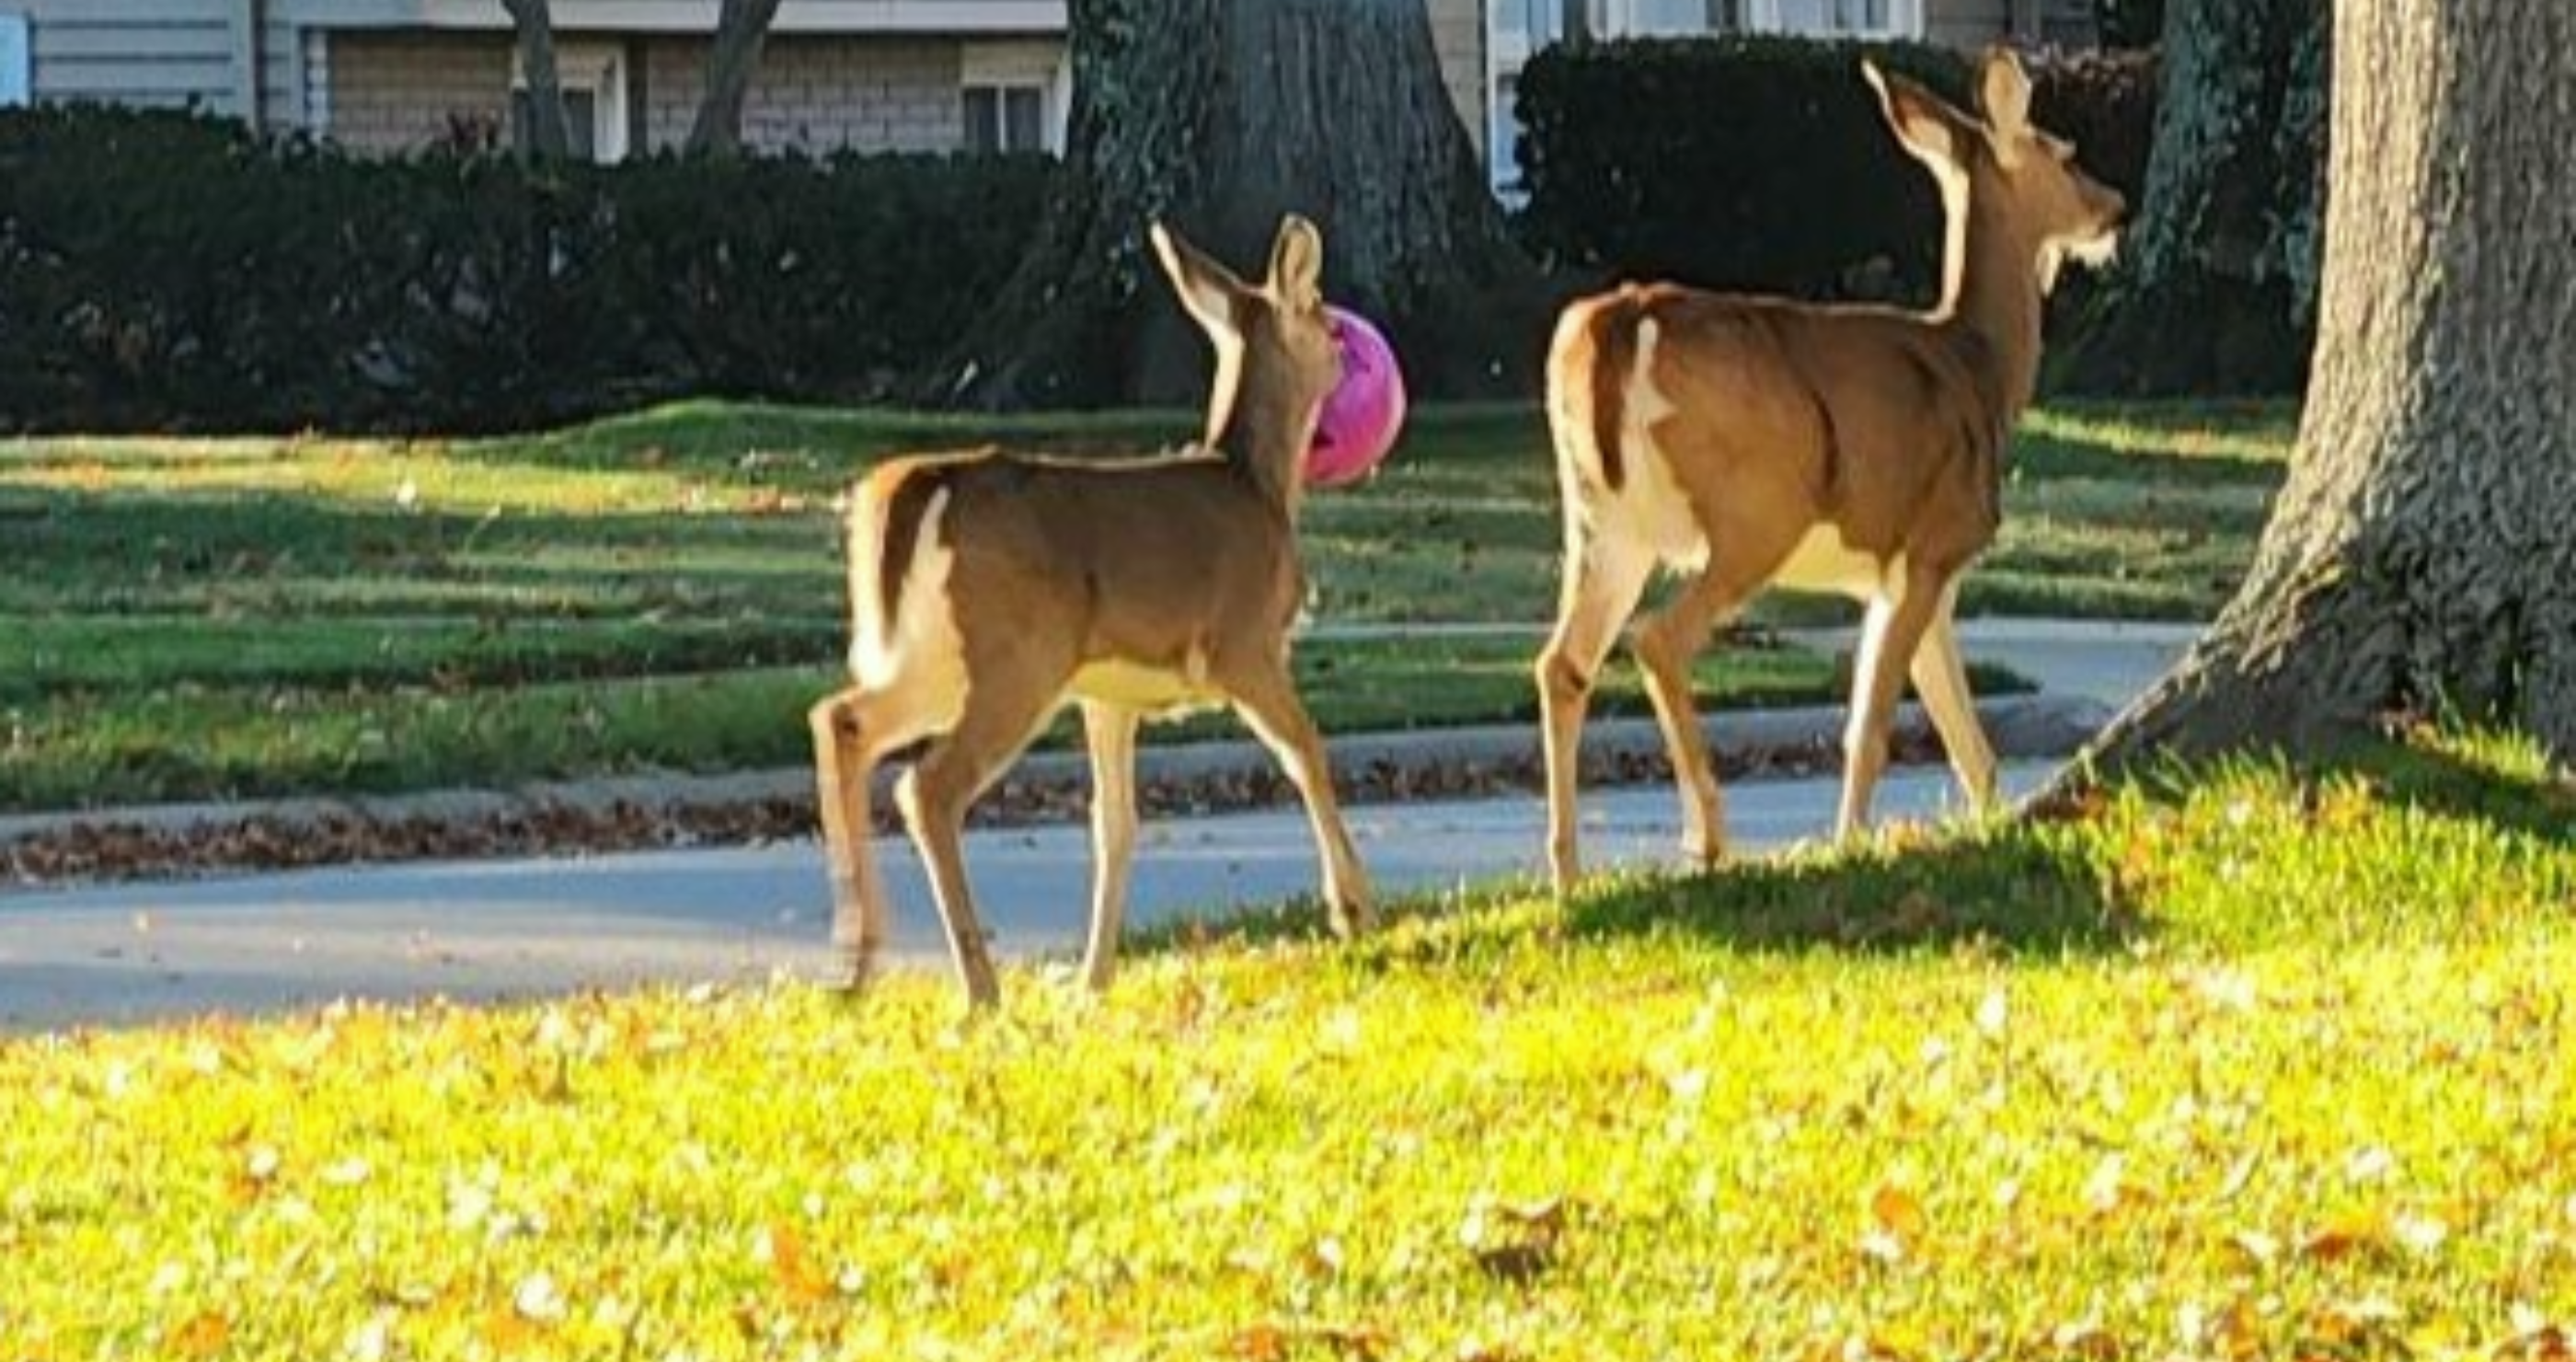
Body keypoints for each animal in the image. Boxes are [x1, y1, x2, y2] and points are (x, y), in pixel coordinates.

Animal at [809, 217, 1380, 1004]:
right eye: (1324, 318)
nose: (1349, 351)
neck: (1258, 485)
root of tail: (919, 487)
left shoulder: (1108, 693)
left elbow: (1115, 824)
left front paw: (1093, 977)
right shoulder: (1244, 645)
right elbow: (1307, 752)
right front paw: (1353, 910)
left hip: (940, 656)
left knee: (841, 718)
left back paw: (856, 958)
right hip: (1018, 655)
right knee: (928, 784)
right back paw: (978, 985)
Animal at [1535, 50, 2122, 891]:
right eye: (2066, 152)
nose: (2118, 207)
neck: (1981, 364)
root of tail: (1620, 322)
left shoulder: (1910, 573)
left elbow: (1966, 742)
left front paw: (1988, 828)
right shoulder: (1934, 544)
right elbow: (1872, 725)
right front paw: (1850, 843)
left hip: (1601, 523)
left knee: (1562, 664)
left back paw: (1569, 870)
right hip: (1755, 514)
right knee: (1657, 641)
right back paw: (1707, 839)